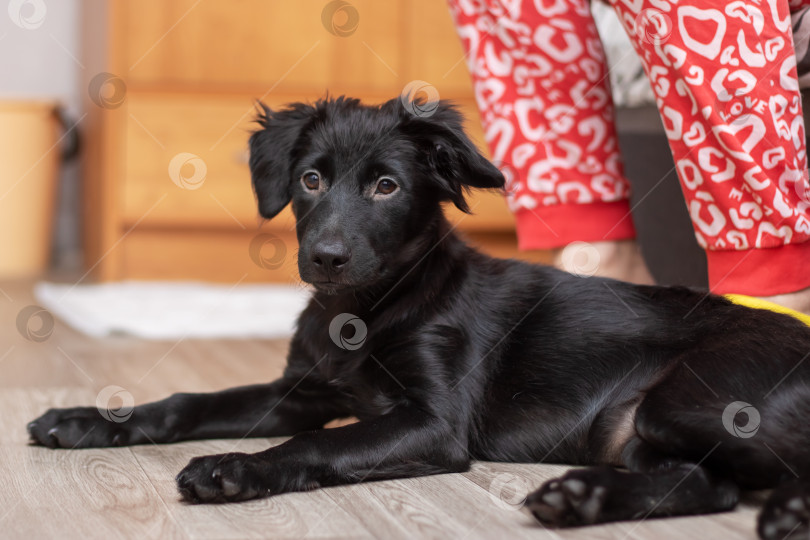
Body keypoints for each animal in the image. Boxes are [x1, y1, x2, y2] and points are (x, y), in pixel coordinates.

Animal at [28, 97, 808, 540]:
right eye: (311, 178)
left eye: (387, 186)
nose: (326, 257)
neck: (363, 313)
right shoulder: (301, 390)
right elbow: (191, 401)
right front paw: (88, 420)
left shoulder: (432, 423)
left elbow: (318, 444)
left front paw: (236, 467)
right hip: (643, 431)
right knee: (706, 482)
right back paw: (581, 498)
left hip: (686, 401)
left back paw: (784, 512)